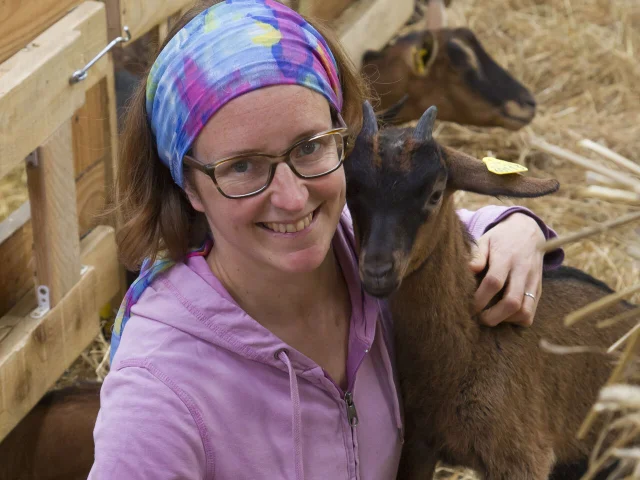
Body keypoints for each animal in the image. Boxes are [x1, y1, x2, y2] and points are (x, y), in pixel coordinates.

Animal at [344, 102, 636, 480]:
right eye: (350, 191)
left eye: (435, 193)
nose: (377, 271)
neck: (472, 344)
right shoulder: (419, 445)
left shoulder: (522, 459)